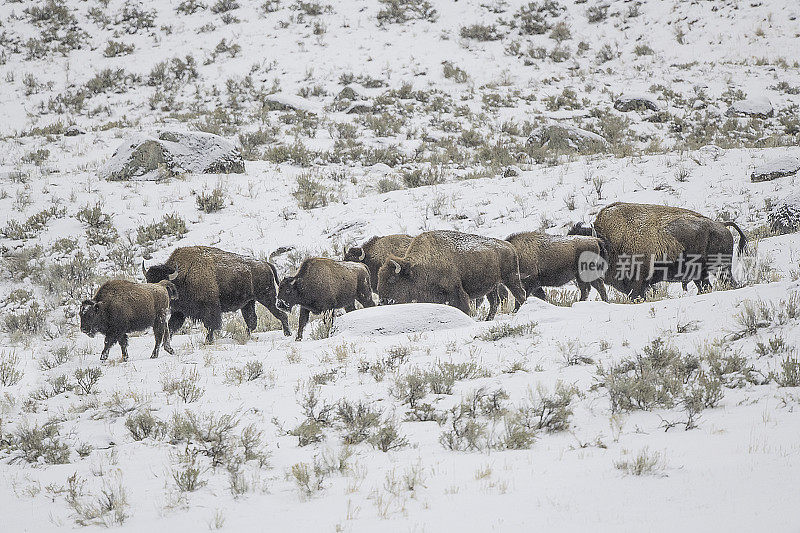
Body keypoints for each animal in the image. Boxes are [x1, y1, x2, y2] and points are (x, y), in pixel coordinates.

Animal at [144, 246, 290, 342]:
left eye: (164, 284)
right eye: (148, 282)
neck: (183, 276)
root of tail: (266, 263)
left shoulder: (210, 308)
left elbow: (211, 325)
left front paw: (208, 341)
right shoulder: (180, 312)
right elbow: (171, 326)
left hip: (267, 298)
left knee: (280, 314)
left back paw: (287, 333)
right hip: (248, 303)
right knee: (252, 320)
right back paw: (244, 336)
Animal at [376, 230, 528, 320]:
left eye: (392, 279)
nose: (383, 301)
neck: (415, 268)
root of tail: (509, 246)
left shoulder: (457, 293)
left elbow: (464, 308)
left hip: (511, 278)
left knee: (521, 294)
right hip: (493, 286)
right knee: (494, 302)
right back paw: (488, 319)